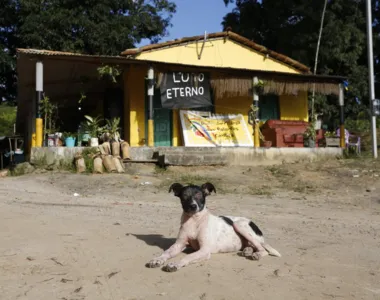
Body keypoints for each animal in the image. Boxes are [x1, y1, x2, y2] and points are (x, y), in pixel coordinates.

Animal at [147, 183, 280, 272]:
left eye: (199, 195)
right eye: (184, 196)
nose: (193, 206)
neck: (194, 221)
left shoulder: (205, 250)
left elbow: (188, 256)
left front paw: (175, 264)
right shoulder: (179, 244)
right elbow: (166, 252)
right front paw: (157, 259)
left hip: (239, 225)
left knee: (263, 249)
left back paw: (256, 254)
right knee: (252, 246)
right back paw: (247, 250)